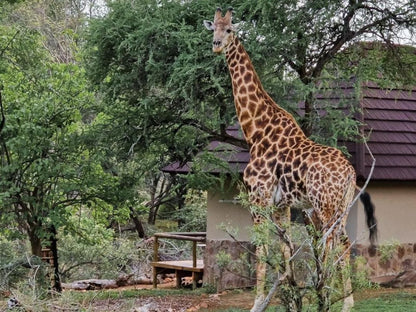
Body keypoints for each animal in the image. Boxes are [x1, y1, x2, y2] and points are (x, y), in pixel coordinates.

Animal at [205, 7, 376, 312]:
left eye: (229, 30)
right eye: (213, 28)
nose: (216, 45)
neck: (256, 131)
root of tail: (349, 174)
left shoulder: (258, 197)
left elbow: (262, 246)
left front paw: (258, 302)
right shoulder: (283, 203)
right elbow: (286, 247)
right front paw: (291, 293)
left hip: (324, 205)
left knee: (328, 243)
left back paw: (325, 296)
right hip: (341, 207)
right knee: (342, 242)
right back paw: (344, 302)